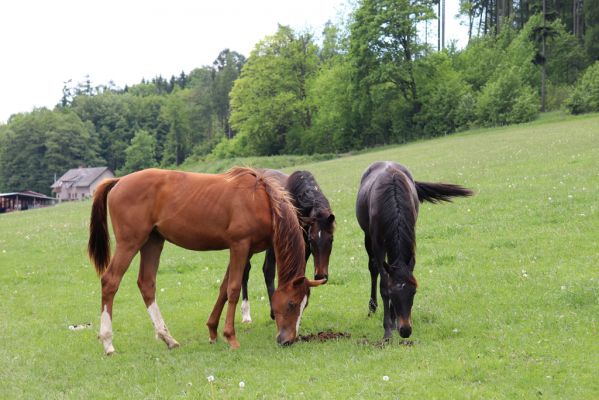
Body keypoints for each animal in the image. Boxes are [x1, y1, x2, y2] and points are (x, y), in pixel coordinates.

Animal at [86, 167, 326, 354]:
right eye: (291, 303)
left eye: (305, 304)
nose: (288, 340)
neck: (262, 200)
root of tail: (119, 181)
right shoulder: (239, 246)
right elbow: (233, 289)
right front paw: (231, 337)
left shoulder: (244, 250)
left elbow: (223, 290)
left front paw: (212, 331)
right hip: (130, 242)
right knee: (110, 281)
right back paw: (108, 343)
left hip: (152, 242)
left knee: (147, 284)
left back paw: (168, 339)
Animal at [239, 170, 336, 324]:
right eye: (312, 239)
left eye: (331, 239)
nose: (321, 275)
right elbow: (270, 271)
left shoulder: (303, 247)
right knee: (248, 270)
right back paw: (246, 314)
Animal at [356, 161, 474, 340]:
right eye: (392, 294)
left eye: (414, 292)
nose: (405, 331)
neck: (392, 201)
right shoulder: (377, 243)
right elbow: (383, 282)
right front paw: (387, 330)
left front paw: (393, 322)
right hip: (367, 237)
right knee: (373, 268)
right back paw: (372, 308)